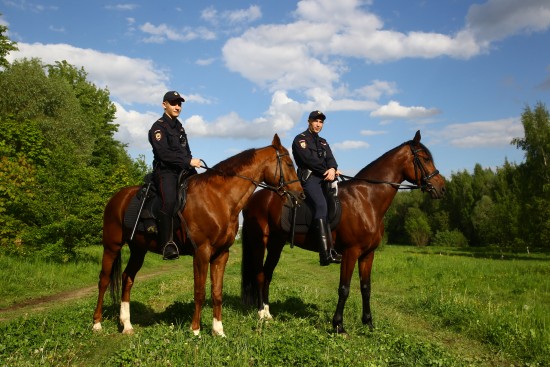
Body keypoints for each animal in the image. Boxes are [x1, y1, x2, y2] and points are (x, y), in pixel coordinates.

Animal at [92, 134, 304, 336]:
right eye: (289, 163)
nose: (301, 195)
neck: (218, 198)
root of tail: (116, 198)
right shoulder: (202, 252)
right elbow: (199, 291)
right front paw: (195, 330)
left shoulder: (221, 254)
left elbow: (216, 292)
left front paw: (218, 330)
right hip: (111, 246)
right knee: (103, 280)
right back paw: (97, 324)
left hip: (138, 249)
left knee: (127, 278)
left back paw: (127, 324)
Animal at [242, 131, 448, 334]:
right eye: (425, 158)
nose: (442, 187)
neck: (367, 199)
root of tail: (255, 197)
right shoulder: (351, 252)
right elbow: (344, 288)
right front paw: (338, 326)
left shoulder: (367, 254)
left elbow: (366, 288)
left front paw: (368, 323)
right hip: (259, 242)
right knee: (260, 274)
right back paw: (261, 314)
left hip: (277, 244)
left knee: (267, 275)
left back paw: (268, 313)